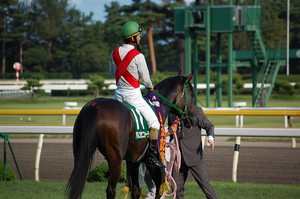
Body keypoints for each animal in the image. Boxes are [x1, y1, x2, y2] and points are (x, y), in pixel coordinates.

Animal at [66, 73, 196, 199]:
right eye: (192, 94)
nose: (193, 119)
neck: (155, 105)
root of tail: (94, 106)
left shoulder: (133, 161)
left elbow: (136, 190)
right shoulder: (151, 162)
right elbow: (159, 188)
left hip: (80, 153)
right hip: (115, 159)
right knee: (110, 190)